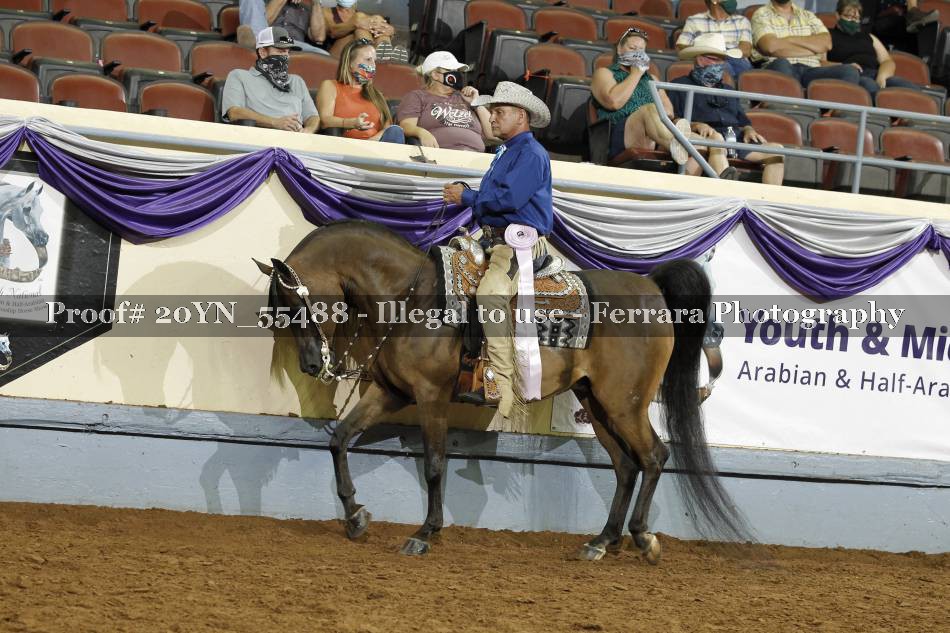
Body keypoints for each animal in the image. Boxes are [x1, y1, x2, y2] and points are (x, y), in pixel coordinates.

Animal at [255, 220, 747, 561]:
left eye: (297, 302)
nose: (311, 365)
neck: (412, 297)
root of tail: (651, 288)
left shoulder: (431, 397)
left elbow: (434, 464)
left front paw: (424, 533)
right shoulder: (391, 391)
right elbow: (340, 439)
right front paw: (355, 516)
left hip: (624, 404)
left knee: (653, 457)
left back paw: (643, 538)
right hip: (596, 402)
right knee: (626, 466)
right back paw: (601, 541)